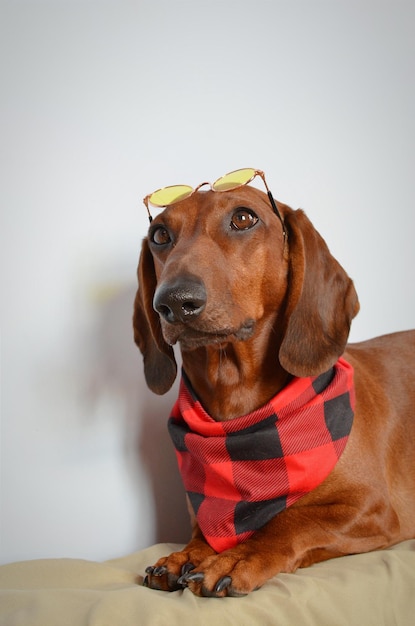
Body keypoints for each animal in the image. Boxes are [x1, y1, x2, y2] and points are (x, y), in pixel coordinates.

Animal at [134, 172, 415, 596]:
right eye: (160, 235)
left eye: (243, 218)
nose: (174, 301)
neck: (239, 415)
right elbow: (206, 532)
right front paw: (188, 553)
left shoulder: (374, 510)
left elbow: (289, 520)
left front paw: (239, 556)